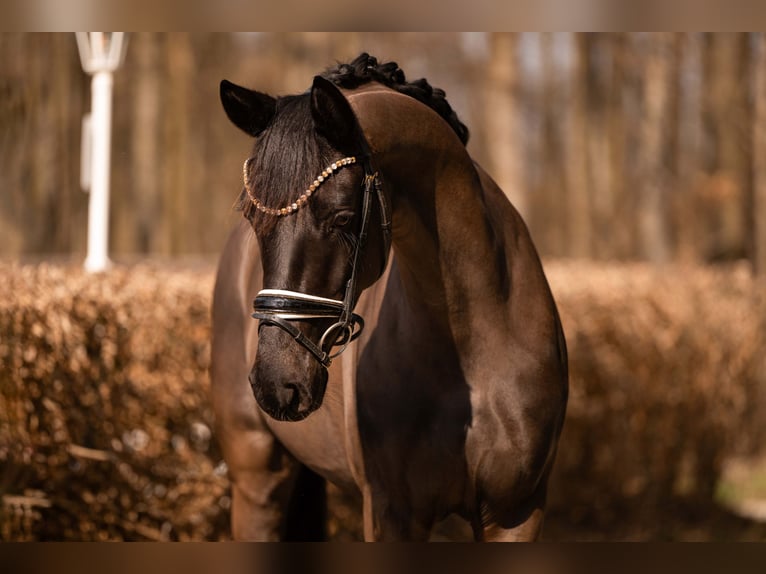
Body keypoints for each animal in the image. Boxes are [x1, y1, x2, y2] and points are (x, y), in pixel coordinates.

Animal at [210, 53, 568, 541]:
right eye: (252, 215)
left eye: (343, 217)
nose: (276, 383)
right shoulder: (390, 512)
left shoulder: (516, 512)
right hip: (257, 482)